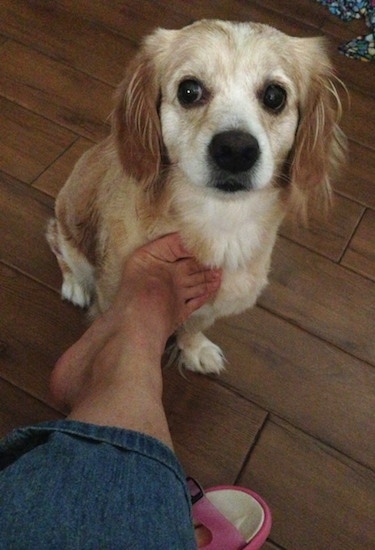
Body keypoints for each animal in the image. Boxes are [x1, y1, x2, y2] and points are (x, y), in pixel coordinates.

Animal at [47, 20, 346, 376]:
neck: (220, 221)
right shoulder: (111, 299)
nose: (236, 150)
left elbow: (193, 326)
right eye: (189, 90)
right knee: (59, 247)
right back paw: (75, 285)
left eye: (275, 96)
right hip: (68, 230)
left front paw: (194, 349)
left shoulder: (219, 301)